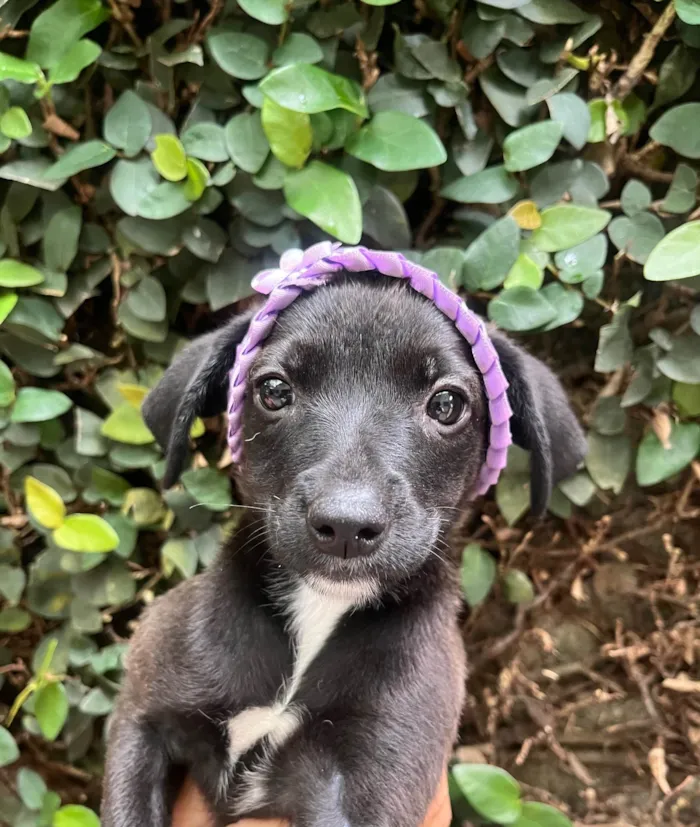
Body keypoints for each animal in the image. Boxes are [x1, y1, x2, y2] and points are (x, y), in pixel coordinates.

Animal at [102, 276, 584, 827]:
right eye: (274, 390)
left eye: (447, 404)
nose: (346, 526)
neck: (319, 610)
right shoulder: (143, 717)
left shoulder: (370, 777)